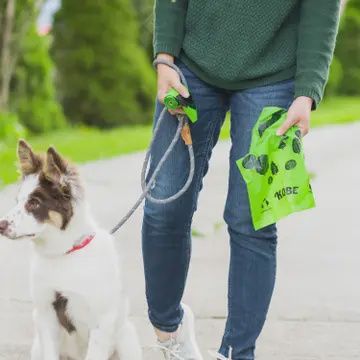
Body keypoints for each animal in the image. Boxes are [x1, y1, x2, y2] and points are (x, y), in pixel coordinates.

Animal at [0, 139, 143, 358]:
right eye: (18, 201)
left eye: (34, 203)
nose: (0, 225)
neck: (64, 254)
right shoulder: (45, 313)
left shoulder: (101, 321)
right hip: (37, 347)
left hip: (127, 339)